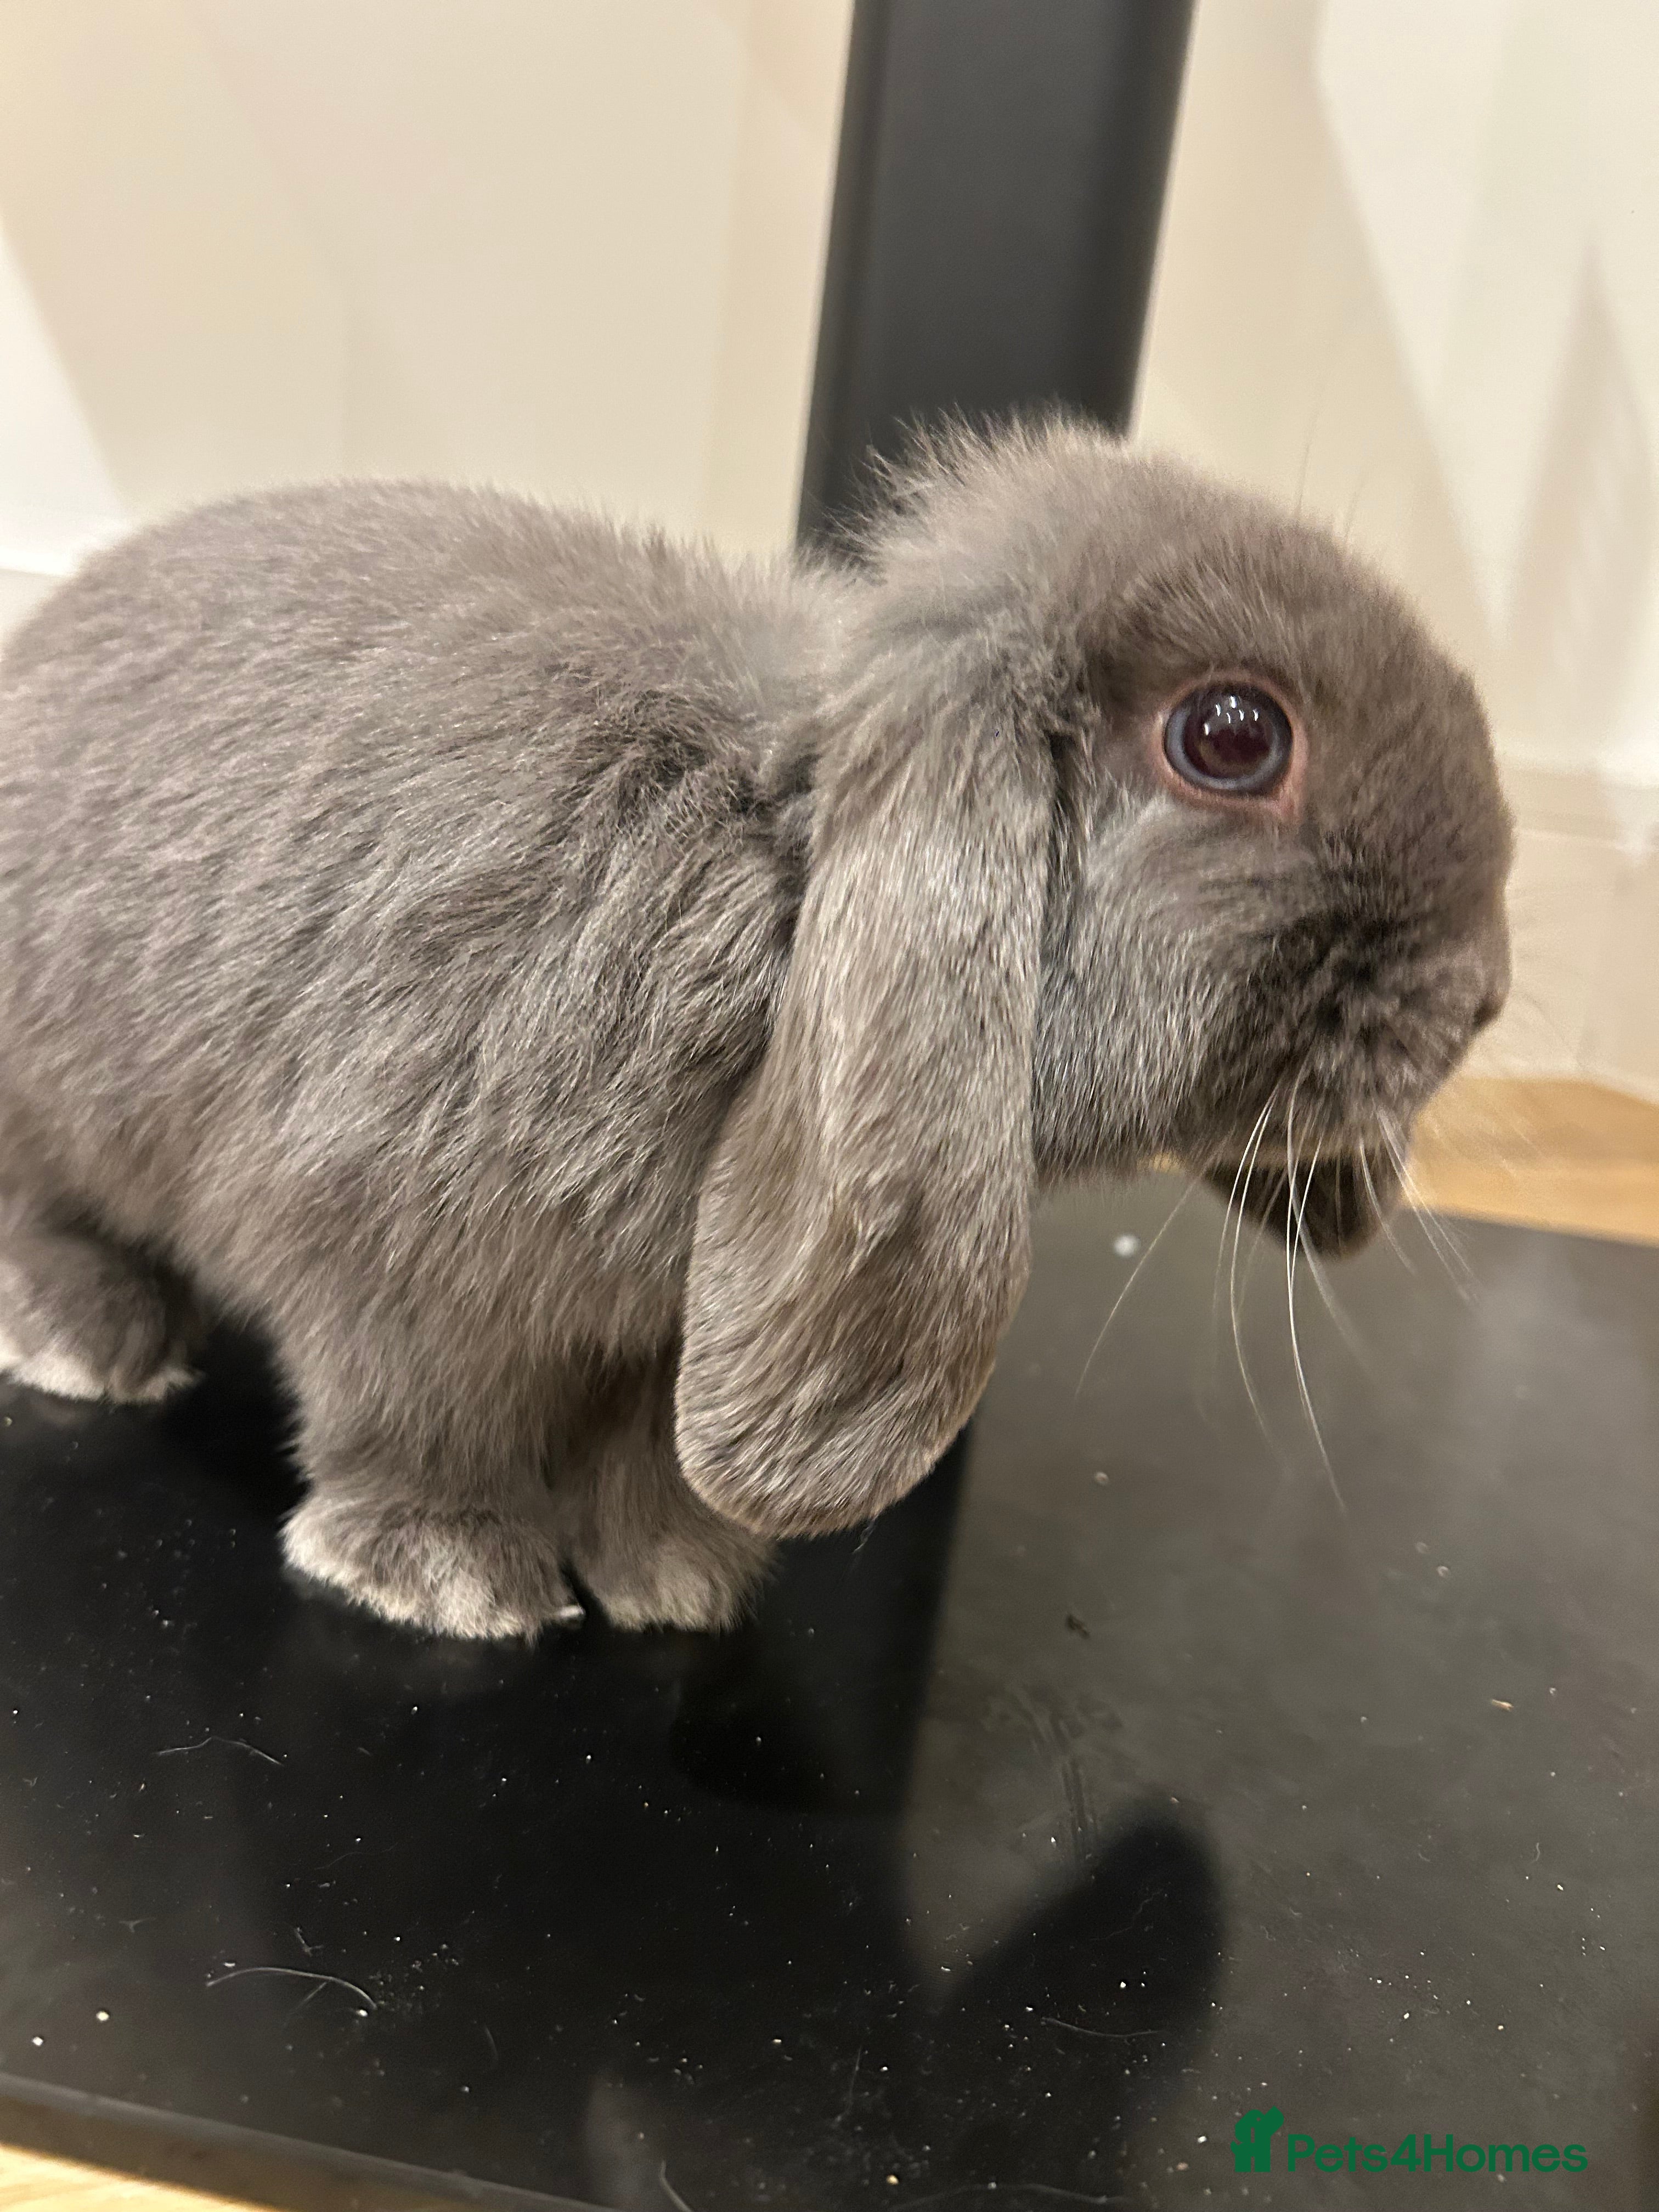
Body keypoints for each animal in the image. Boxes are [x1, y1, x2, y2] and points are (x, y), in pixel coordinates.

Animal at [0, 416, 1511, 1640]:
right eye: (1234, 735)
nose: (1482, 991)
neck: (779, 868)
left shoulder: (661, 1333)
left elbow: (643, 1452)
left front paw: (674, 1578)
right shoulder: (391, 1245)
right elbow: (418, 1410)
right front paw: (449, 1575)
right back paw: (86, 1336)